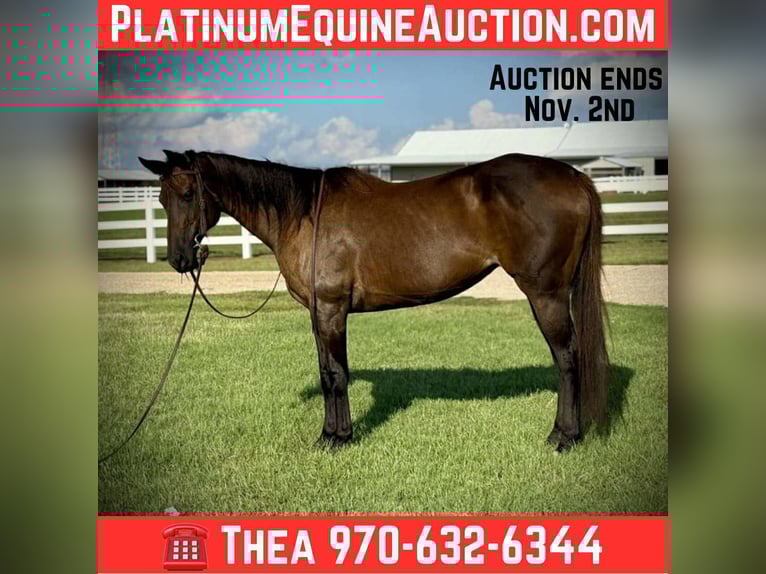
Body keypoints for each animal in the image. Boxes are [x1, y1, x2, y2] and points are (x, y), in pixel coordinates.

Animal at [138, 149, 609, 452]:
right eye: (160, 198)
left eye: (187, 195)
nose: (179, 260)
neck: (303, 214)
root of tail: (574, 177)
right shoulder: (319, 314)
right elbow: (328, 372)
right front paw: (332, 434)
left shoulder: (331, 309)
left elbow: (335, 376)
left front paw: (335, 440)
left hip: (545, 293)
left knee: (567, 358)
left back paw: (563, 437)